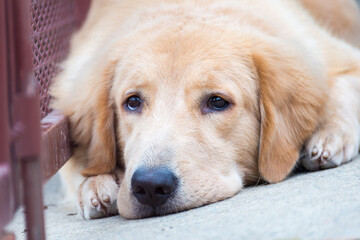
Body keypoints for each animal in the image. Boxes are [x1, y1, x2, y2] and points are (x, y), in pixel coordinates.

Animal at [50, 0, 360, 219]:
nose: (150, 186)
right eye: (133, 102)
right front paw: (97, 183)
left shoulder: (338, 57)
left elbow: (343, 91)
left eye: (217, 101)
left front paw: (330, 135)